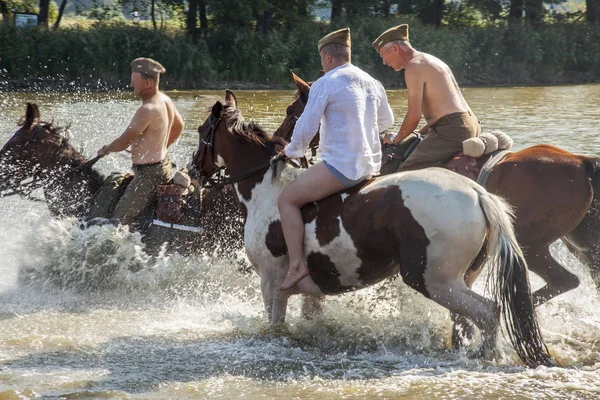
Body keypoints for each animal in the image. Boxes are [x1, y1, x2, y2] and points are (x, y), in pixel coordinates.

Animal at [191, 90, 552, 368]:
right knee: (467, 321)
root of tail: (478, 193)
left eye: (199, 130)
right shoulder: (311, 292)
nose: (193, 171)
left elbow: (276, 327)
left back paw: (486, 356)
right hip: (461, 279)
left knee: (488, 311)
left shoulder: (271, 283)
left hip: (435, 281)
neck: (266, 191)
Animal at [278, 73, 600, 310]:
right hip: (580, 245)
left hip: (531, 245)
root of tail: (582, 161)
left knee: (563, 281)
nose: (281, 142)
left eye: (293, 111)